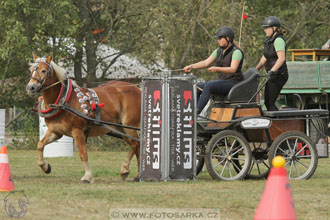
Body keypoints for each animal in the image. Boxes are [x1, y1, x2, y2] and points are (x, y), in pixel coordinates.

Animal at [24, 52, 141, 182]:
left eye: (43, 70)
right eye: (31, 70)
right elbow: (40, 144)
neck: (63, 100)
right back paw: (133, 173)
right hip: (121, 129)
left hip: (129, 126)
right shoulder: (55, 131)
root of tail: (137, 89)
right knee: (136, 146)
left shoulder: (77, 131)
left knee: (136, 145)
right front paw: (45, 167)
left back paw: (129, 171)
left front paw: (87, 176)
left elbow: (83, 153)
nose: (30, 87)